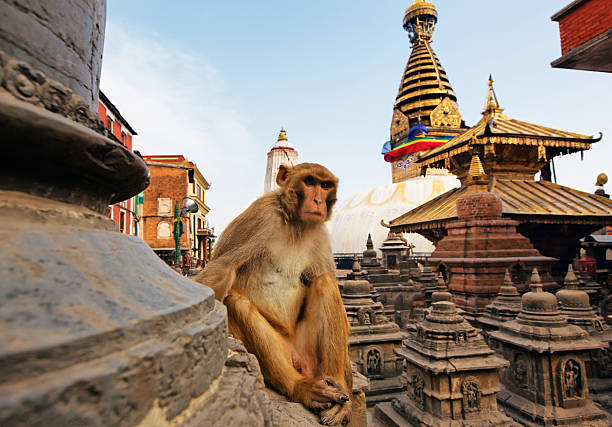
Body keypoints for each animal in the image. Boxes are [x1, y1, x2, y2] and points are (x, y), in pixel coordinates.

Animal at [196, 163, 354, 424]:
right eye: (309, 182)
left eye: (325, 185)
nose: (318, 200)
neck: (295, 224)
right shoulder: (261, 215)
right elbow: (222, 268)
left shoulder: (320, 233)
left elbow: (324, 277)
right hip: (283, 351)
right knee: (236, 302)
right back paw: (300, 387)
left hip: (309, 351)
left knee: (325, 282)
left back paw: (338, 386)